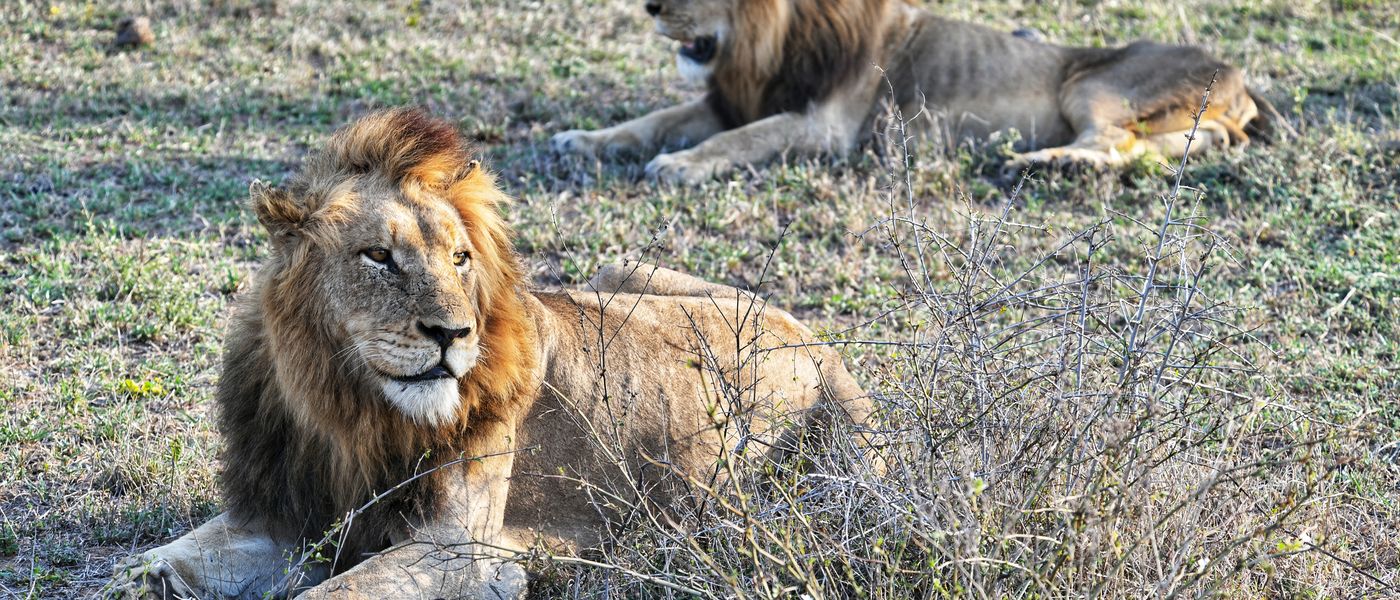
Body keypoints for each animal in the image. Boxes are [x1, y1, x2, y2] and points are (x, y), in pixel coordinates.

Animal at [108, 108, 879, 599]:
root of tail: (809, 334)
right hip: (624, 270)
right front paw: (146, 580)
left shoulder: (459, 548)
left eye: (460, 259)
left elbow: (333, 595)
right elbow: (152, 563)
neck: (343, 407)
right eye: (379, 257)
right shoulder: (284, 517)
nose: (451, 335)